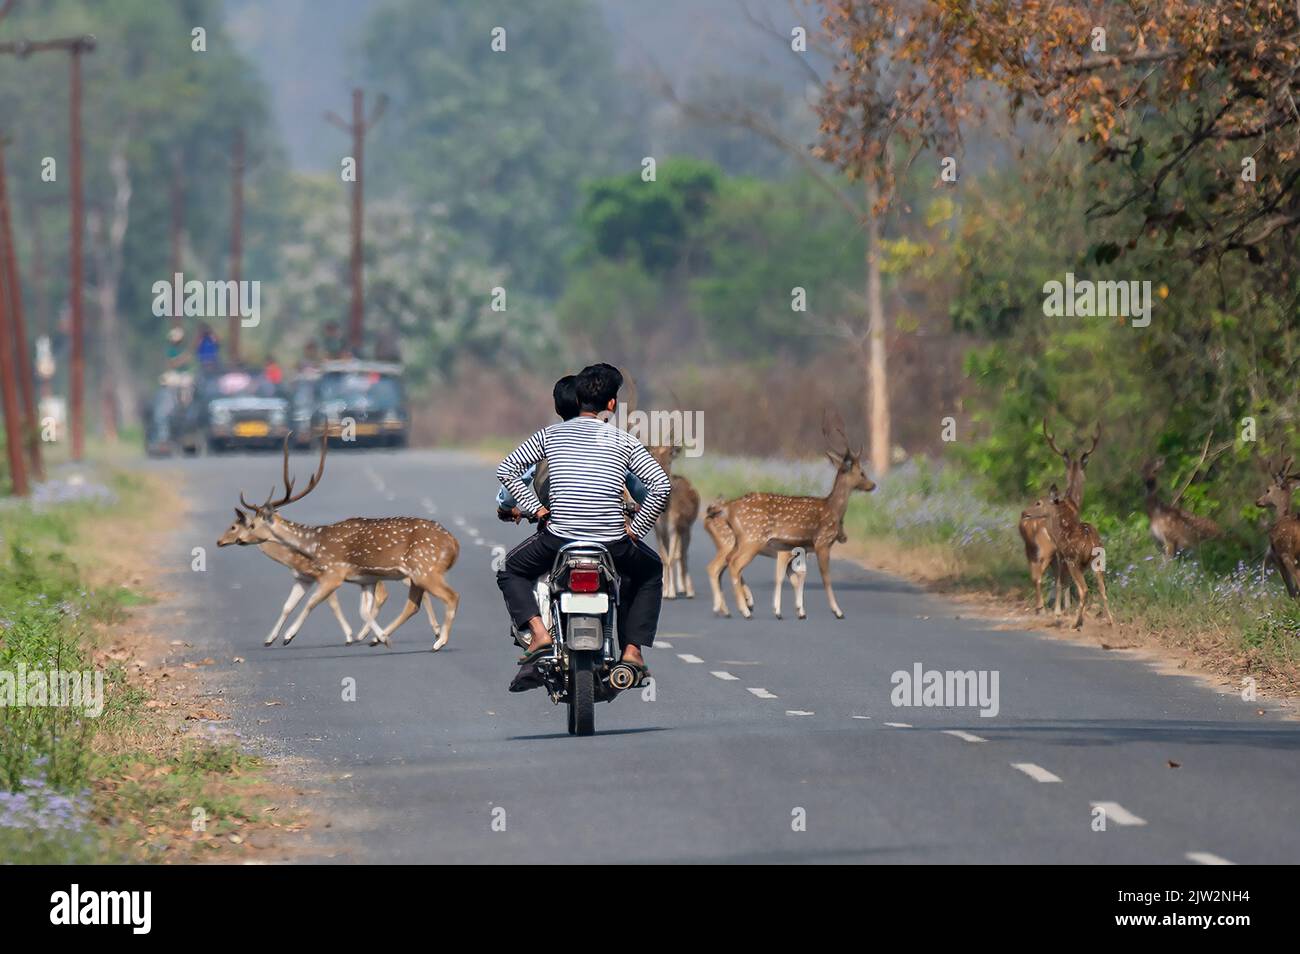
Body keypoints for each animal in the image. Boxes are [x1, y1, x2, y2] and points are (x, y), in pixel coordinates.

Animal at [236, 439, 460, 649]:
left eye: (252, 525)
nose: (240, 539)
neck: (315, 544)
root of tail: (453, 543)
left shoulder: (333, 572)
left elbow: (312, 602)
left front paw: (288, 636)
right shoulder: (365, 580)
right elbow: (363, 611)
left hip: (425, 569)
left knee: (452, 596)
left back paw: (439, 642)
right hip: (417, 574)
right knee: (413, 604)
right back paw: (382, 639)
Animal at [722, 415, 873, 623]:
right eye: (862, 473)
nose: (872, 485)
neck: (832, 509)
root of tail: (729, 508)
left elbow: (797, 577)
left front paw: (798, 611)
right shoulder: (822, 542)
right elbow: (825, 577)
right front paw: (838, 611)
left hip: (741, 540)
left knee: (728, 560)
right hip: (752, 539)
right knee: (735, 564)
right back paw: (745, 610)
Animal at [1013, 421, 1097, 616]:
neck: (1073, 502)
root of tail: (1027, 524)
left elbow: (1058, 578)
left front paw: (1060, 605)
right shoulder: (1061, 550)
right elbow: (1063, 579)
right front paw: (1064, 607)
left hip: (1029, 549)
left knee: (1034, 575)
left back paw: (1040, 606)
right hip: (1046, 548)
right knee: (1038, 576)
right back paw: (1041, 608)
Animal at [1019, 480, 1112, 631]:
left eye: (1038, 503)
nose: (1024, 512)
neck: (1059, 532)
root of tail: (1091, 541)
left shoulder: (1062, 557)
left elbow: (1059, 583)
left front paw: (1058, 615)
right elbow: (1064, 583)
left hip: (1071, 560)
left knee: (1083, 589)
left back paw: (1074, 623)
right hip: (1097, 562)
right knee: (1102, 589)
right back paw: (1110, 621)